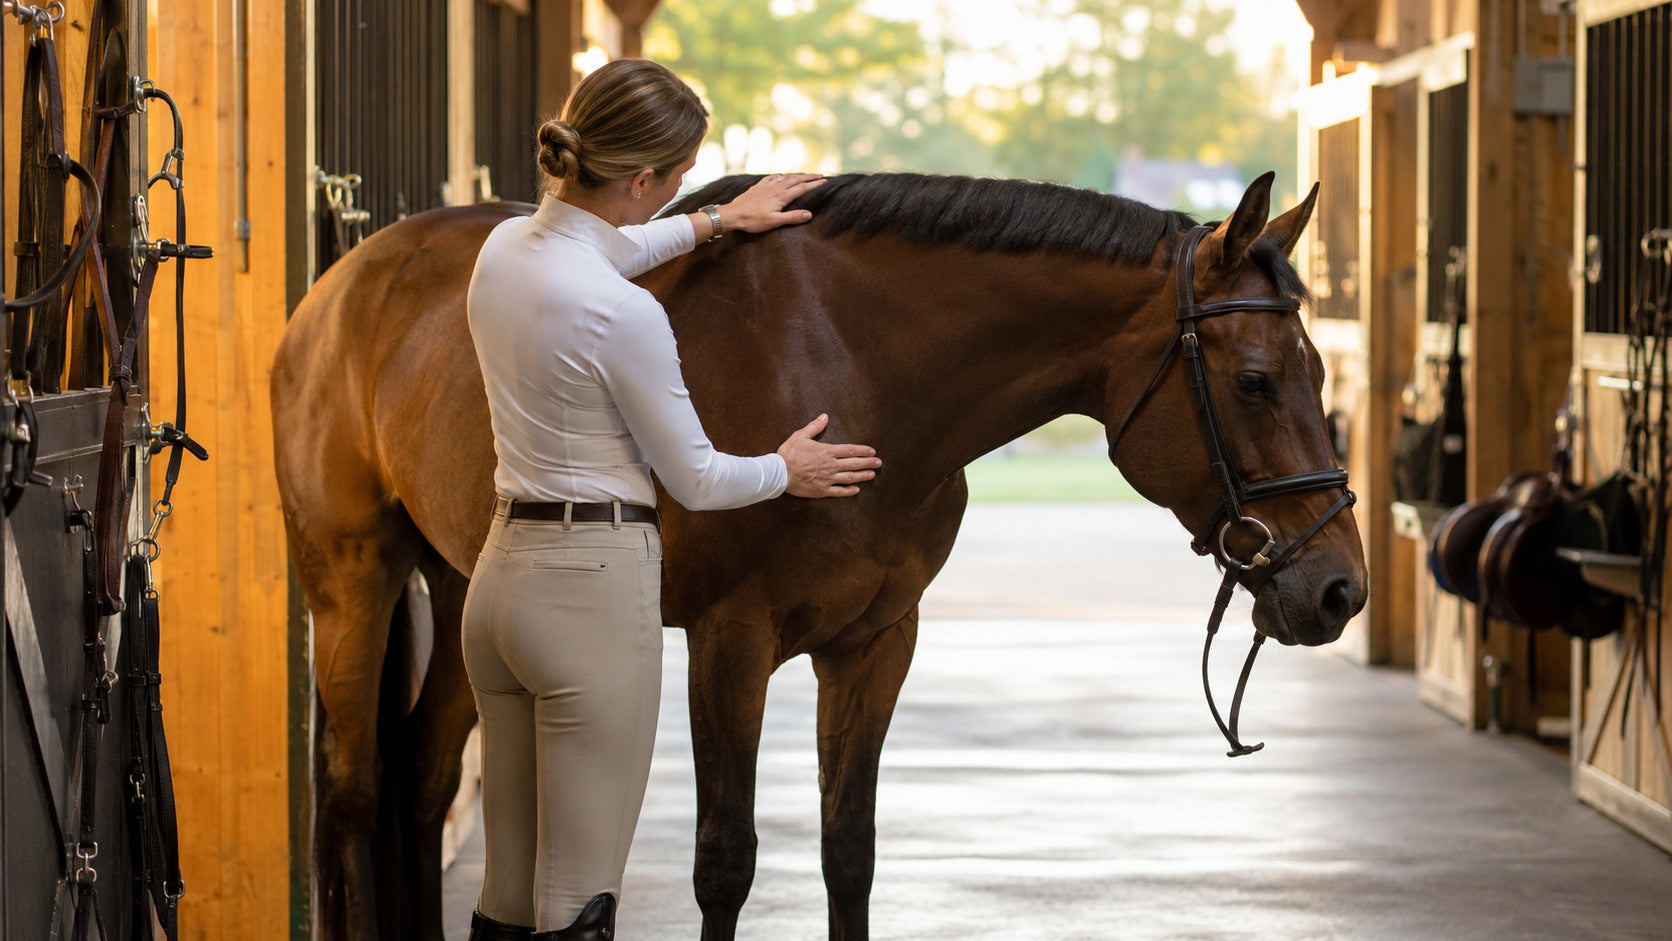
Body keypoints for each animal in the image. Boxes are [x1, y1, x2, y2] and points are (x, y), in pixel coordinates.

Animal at [270, 169, 1367, 940]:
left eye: (1319, 372)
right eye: (1258, 380)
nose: (1338, 588)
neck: (854, 363)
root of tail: (351, 277)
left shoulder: (875, 643)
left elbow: (850, 850)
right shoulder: (729, 643)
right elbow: (726, 859)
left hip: (469, 586)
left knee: (421, 776)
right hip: (354, 576)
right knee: (351, 787)